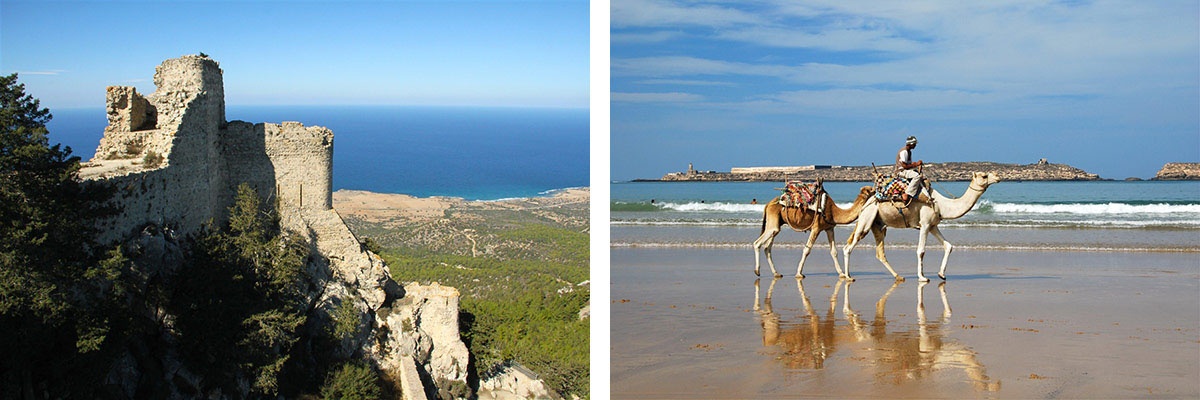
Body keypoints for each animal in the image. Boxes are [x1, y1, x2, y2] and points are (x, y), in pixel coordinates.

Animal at [840, 170, 998, 279]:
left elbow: (948, 246)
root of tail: (866, 202)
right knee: (849, 246)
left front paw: (941, 274)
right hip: (867, 219)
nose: (997, 176)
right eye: (984, 176)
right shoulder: (925, 224)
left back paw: (898, 276)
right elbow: (921, 251)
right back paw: (848, 276)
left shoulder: (933, 225)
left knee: (880, 253)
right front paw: (922, 277)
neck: (941, 204)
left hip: (878, 225)